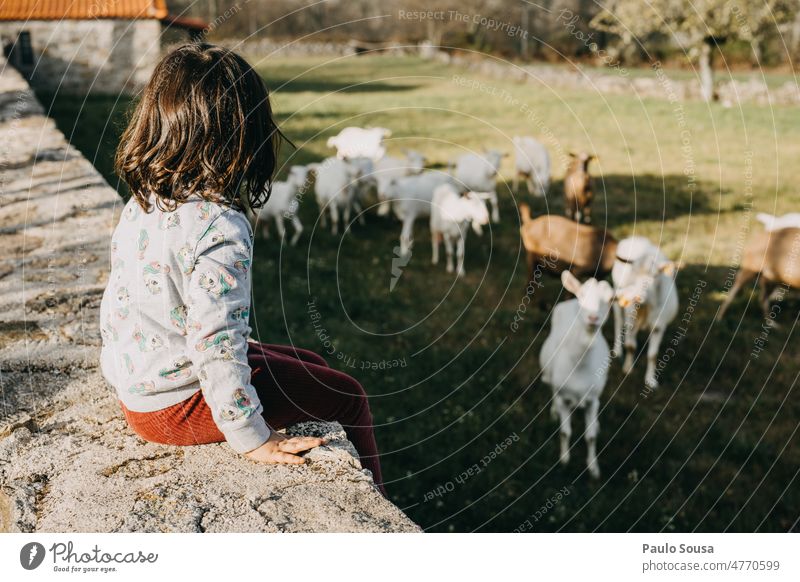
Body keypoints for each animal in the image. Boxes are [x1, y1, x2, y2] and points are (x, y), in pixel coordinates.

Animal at [540, 272, 616, 482]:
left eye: (611, 299)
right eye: (583, 294)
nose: (593, 317)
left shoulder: (593, 399)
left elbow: (590, 436)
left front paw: (593, 468)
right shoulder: (564, 396)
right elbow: (566, 432)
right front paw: (564, 460)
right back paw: (554, 412)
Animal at [608, 235, 680, 390]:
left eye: (655, 276)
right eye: (633, 275)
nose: (637, 297)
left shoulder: (659, 326)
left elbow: (652, 354)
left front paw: (651, 380)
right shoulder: (631, 320)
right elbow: (631, 346)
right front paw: (628, 369)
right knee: (618, 321)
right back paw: (618, 350)